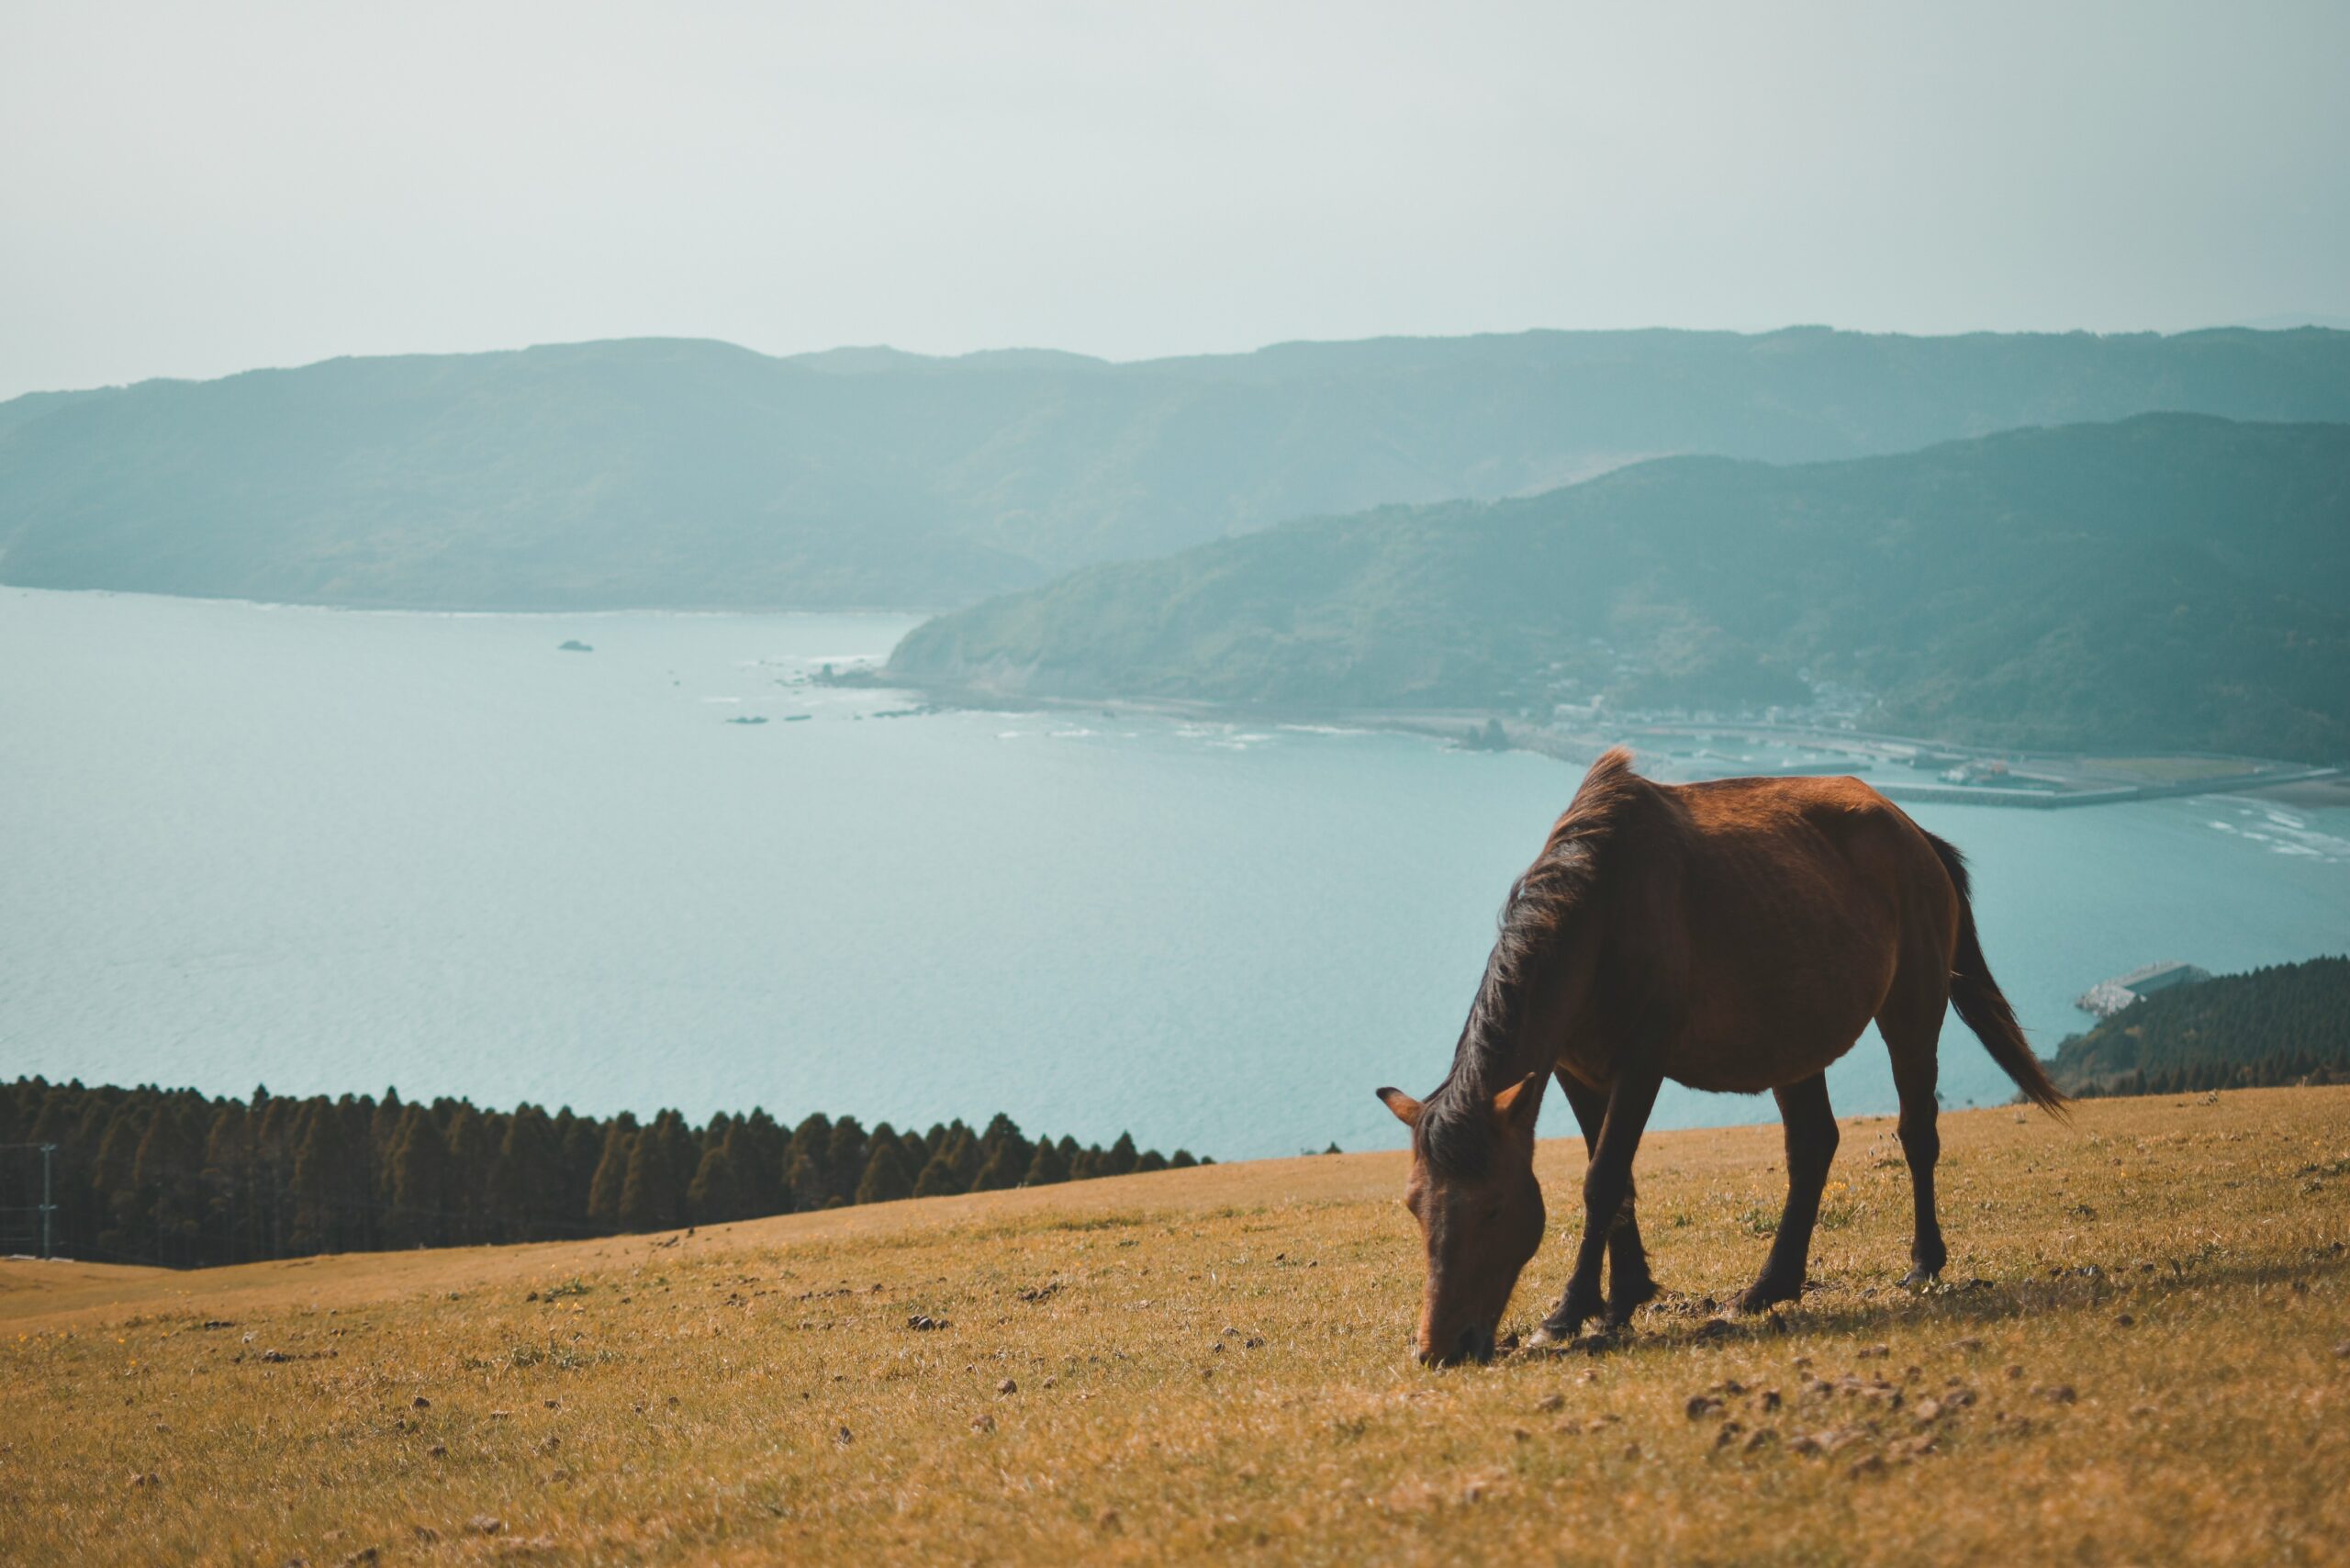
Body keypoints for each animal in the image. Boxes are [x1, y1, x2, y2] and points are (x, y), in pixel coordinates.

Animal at [1372, 743, 2067, 1363]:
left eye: (1492, 1210)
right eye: (1414, 1207)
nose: (1439, 1349)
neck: (1599, 913)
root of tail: (1915, 833)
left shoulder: (1643, 1062)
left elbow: (1603, 1180)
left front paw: (1569, 1312)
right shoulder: (1574, 1070)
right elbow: (1615, 1179)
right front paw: (1623, 1296)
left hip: (1913, 1014)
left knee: (1917, 1133)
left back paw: (1923, 1263)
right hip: (1795, 1038)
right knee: (1813, 1145)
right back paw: (1769, 1287)